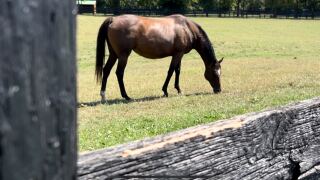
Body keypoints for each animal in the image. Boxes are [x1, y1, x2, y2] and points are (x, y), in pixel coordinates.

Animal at [96, 14, 224, 102]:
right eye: (214, 73)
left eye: (220, 73)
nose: (218, 90)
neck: (187, 28)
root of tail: (113, 19)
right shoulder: (178, 54)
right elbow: (171, 71)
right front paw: (165, 91)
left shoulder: (178, 54)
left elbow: (177, 71)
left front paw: (178, 89)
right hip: (123, 55)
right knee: (119, 73)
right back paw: (126, 96)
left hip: (114, 54)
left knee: (106, 70)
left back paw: (103, 96)